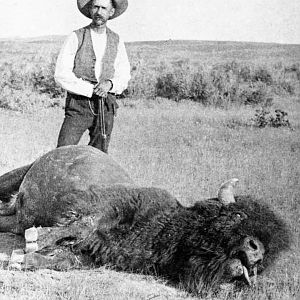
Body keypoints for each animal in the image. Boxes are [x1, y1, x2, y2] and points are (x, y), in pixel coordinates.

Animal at [0, 145, 290, 292]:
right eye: (238, 213)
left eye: (268, 259)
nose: (256, 252)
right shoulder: (106, 206)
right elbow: (81, 224)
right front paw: (33, 240)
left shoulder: (96, 255)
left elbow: (64, 258)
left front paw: (21, 258)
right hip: (16, 176)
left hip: (16, 215)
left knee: (11, 219)